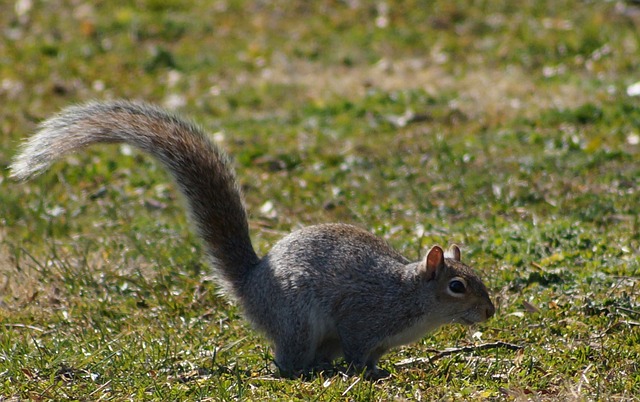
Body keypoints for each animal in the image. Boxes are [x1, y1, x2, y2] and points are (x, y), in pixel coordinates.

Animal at [12, 99, 498, 376]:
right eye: (457, 286)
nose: (491, 312)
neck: (411, 299)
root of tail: (251, 284)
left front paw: (380, 369)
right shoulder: (362, 317)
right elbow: (361, 351)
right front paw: (371, 374)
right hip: (298, 322)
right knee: (289, 359)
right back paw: (302, 373)